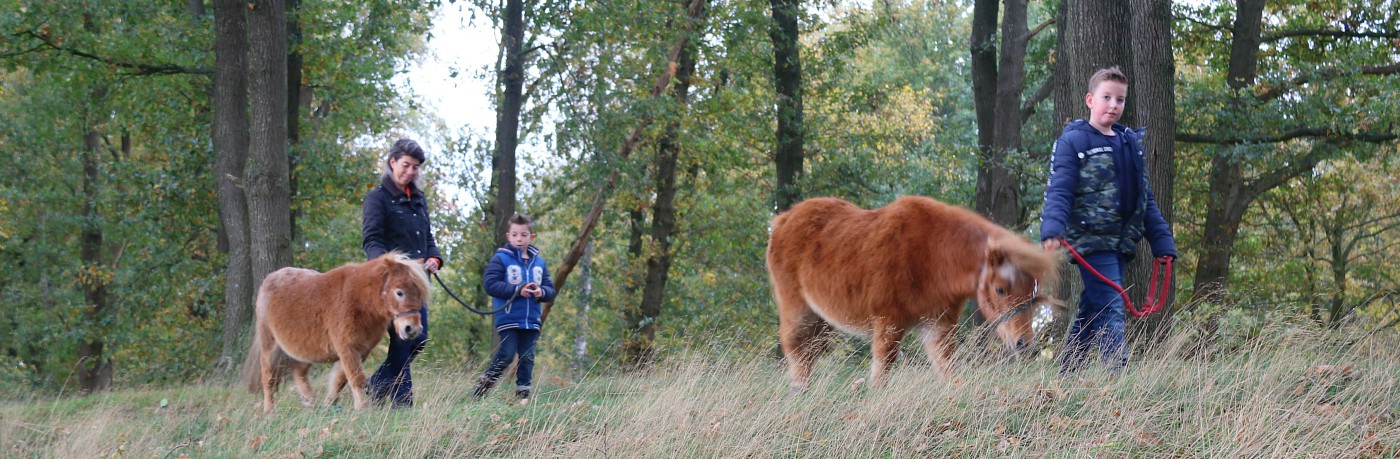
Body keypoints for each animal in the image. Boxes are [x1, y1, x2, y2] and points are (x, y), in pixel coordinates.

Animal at [240, 250, 428, 411]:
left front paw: (330, 406)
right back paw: (269, 411)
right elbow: (356, 379)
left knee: (298, 373)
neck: (358, 300)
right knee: (268, 377)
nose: (412, 329)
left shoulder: (360, 350)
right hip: (270, 345)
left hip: (306, 350)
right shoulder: (347, 348)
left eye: (419, 293)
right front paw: (363, 409)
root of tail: (269, 279)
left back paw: (311, 404)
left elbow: (340, 380)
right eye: (399, 292)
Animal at [767, 195, 1058, 391]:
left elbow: (948, 371)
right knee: (795, 349)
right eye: (1000, 289)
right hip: (798, 310)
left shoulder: (937, 327)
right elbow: (882, 371)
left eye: (1033, 289)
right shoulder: (889, 325)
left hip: (823, 320)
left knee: (809, 353)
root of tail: (782, 219)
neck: (934, 255)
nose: (1024, 343)